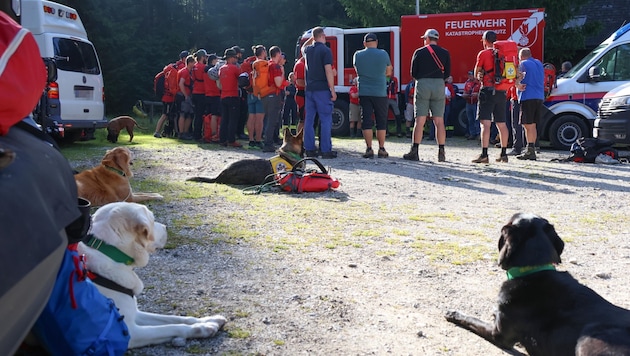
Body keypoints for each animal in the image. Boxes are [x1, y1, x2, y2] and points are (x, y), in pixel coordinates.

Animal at [78, 203, 227, 348]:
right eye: (153, 219)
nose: (166, 227)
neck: (111, 255)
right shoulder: (129, 332)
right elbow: (171, 327)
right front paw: (204, 328)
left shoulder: (136, 313)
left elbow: (174, 318)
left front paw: (208, 319)